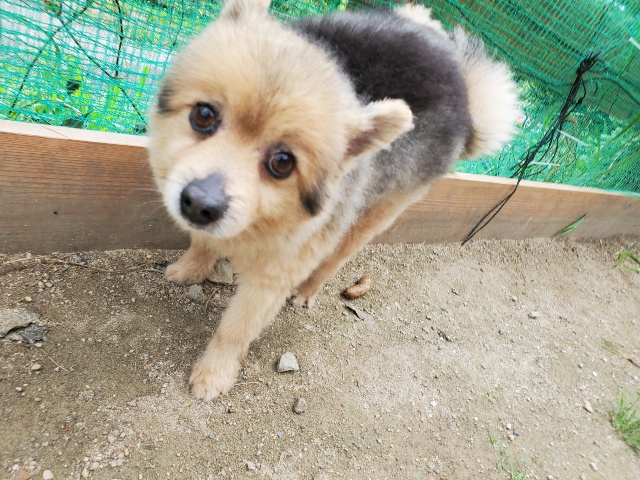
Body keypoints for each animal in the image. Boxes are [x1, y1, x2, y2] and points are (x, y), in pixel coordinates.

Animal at [148, 0, 520, 401]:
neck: (259, 224)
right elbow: (202, 243)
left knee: (338, 253)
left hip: (377, 209)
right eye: (203, 115)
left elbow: (236, 329)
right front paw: (190, 268)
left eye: (283, 163)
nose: (201, 202)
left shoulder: (275, 275)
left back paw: (308, 291)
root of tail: (465, 88)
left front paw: (214, 373)